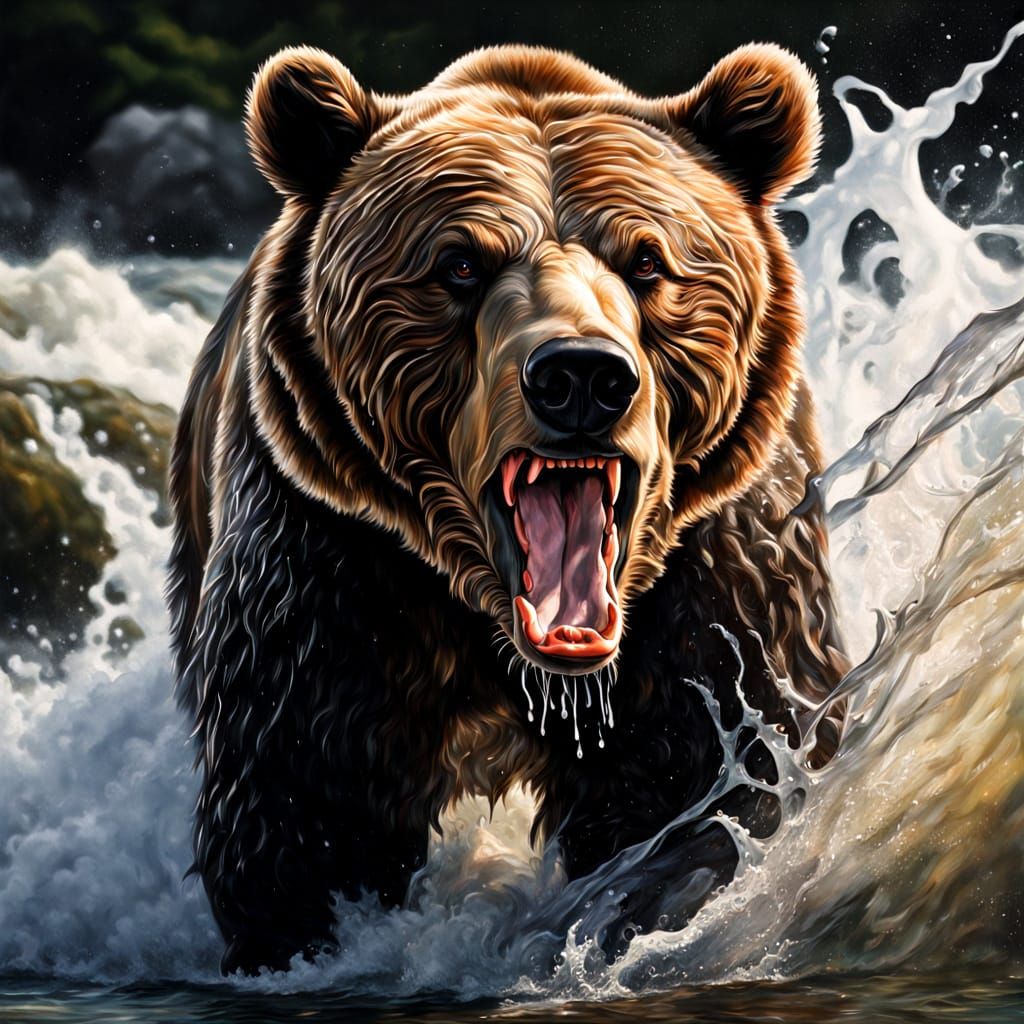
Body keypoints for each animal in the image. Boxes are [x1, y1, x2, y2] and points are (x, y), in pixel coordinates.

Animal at [166, 42, 847, 975]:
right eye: (459, 263)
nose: (580, 374)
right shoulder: (330, 562)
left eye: (648, 261)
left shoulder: (722, 565)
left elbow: (712, 771)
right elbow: (306, 795)